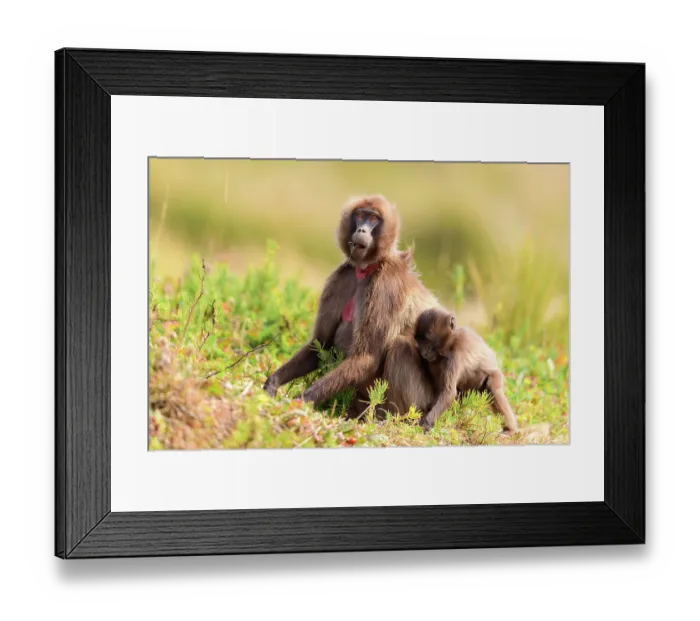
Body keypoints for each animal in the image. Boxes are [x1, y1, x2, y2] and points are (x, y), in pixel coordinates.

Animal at [263, 195, 438, 411]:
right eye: (360, 216)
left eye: (374, 219)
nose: (361, 230)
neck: (368, 268)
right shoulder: (342, 278)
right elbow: (320, 344)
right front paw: (272, 383)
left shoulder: (385, 287)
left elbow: (366, 357)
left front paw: (301, 400)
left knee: (401, 346)